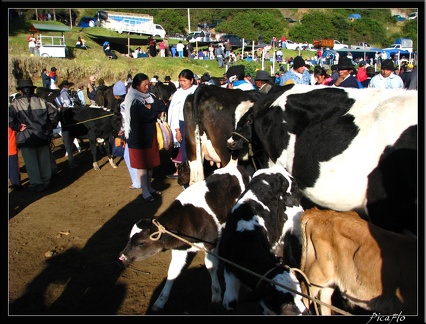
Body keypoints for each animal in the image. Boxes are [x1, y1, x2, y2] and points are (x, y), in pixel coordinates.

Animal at [117, 165, 250, 312]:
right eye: (130, 238)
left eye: (141, 243)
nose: (122, 256)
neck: (187, 220)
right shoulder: (179, 249)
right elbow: (172, 273)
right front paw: (160, 301)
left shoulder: (211, 243)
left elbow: (210, 267)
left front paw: (216, 294)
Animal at [220, 165, 306, 314]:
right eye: (286, 303)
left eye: (300, 297)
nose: (307, 312)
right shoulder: (229, 268)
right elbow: (230, 300)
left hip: (296, 221)